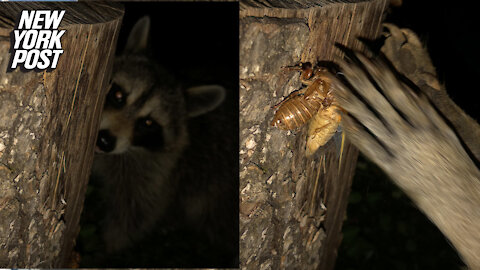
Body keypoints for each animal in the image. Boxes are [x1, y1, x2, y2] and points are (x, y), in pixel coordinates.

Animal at [92, 16, 227, 253]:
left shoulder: (160, 173)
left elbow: (133, 213)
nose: (105, 140)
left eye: (148, 123)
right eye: (118, 95)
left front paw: (109, 246)